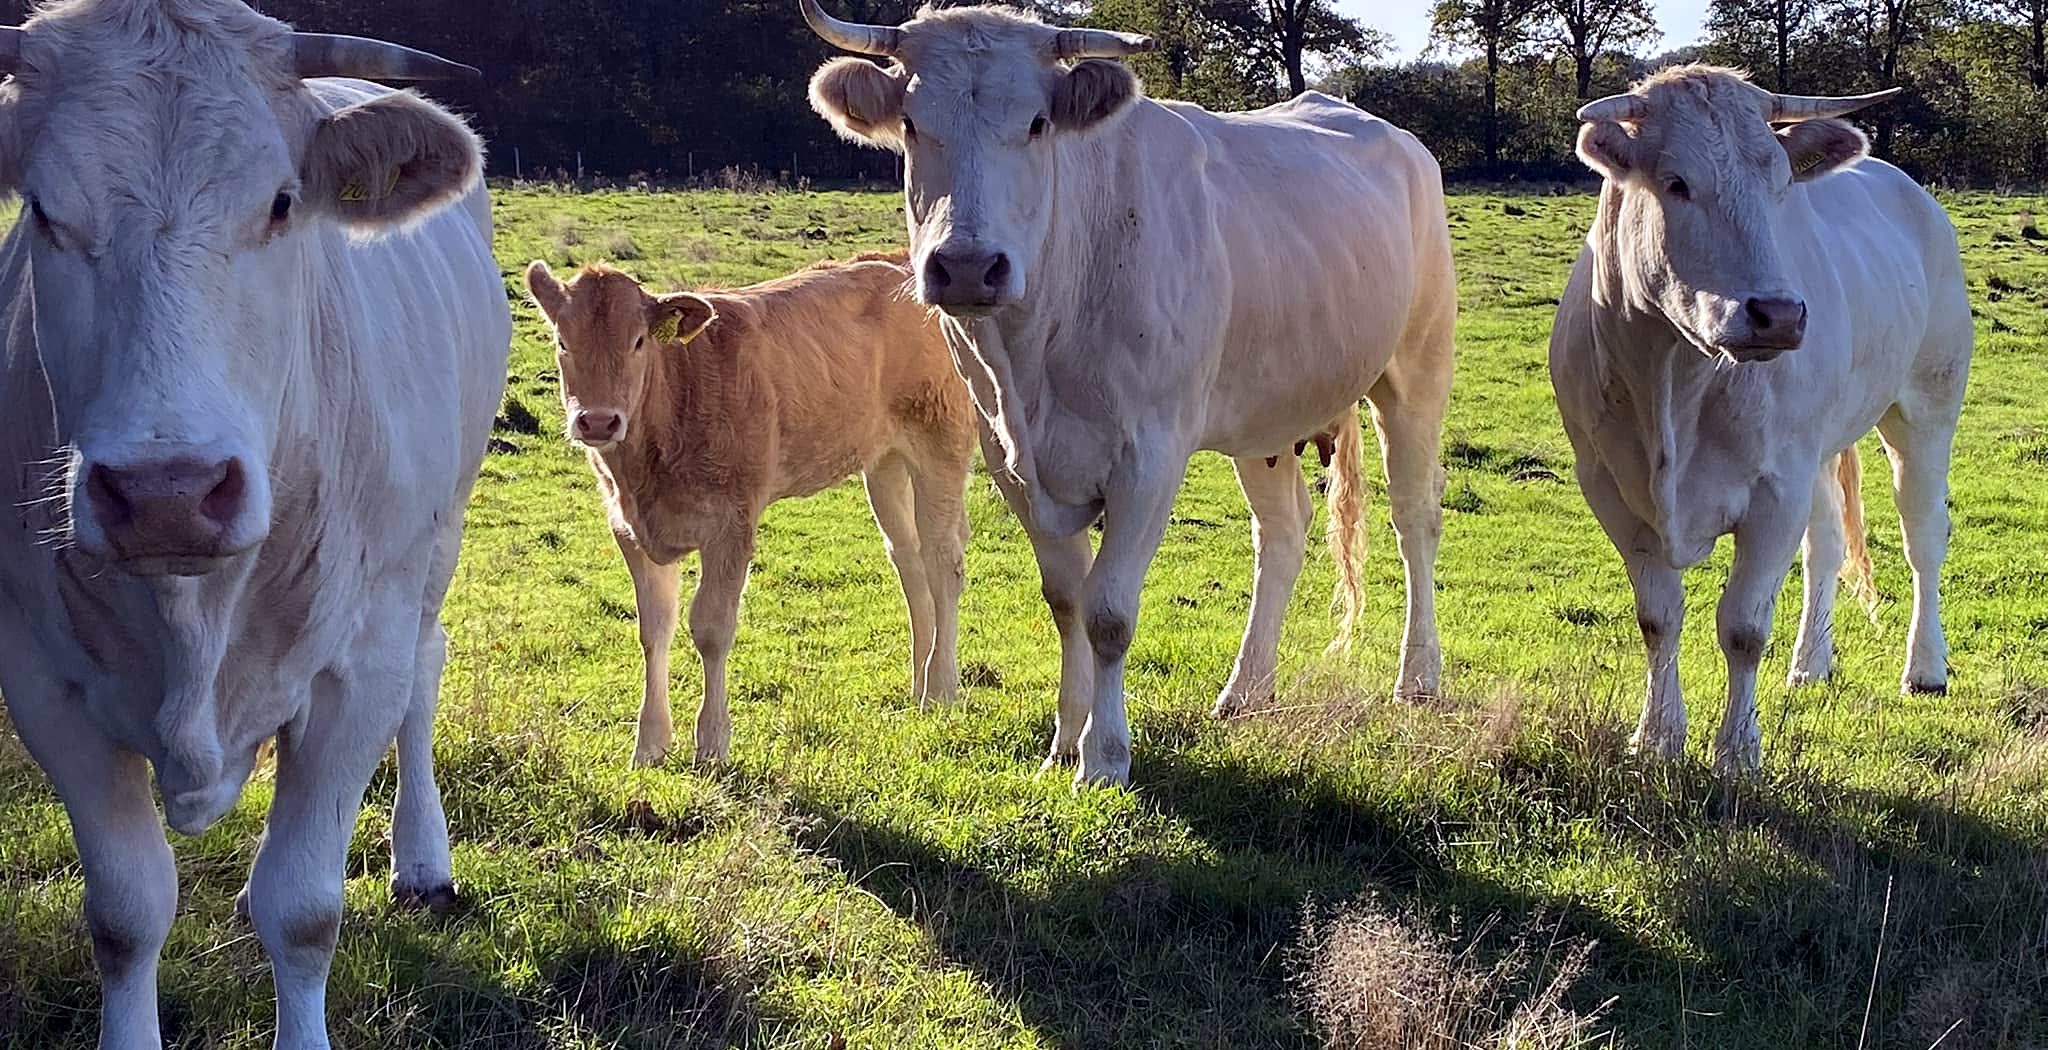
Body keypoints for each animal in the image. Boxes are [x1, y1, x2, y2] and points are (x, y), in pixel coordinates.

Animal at [0, 1, 510, 1047]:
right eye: (43, 211)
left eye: (281, 204)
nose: (167, 490)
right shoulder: (39, 680)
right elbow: (125, 915)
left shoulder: (360, 666)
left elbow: (305, 911)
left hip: (436, 545)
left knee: (426, 675)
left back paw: (423, 861)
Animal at [525, 253, 976, 767]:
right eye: (562, 341)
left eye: (638, 341)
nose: (598, 421)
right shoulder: (629, 529)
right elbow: (654, 630)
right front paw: (650, 743)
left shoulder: (731, 522)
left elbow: (711, 627)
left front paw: (712, 742)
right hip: (885, 461)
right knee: (909, 561)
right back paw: (920, 686)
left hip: (940, 440)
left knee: (943, 563)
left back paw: (941, 689)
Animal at [799, 1, 1458, 786]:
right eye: (910, 123)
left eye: (1037, 123)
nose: (966, 267)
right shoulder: (1010, 459)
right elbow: (1066, 602)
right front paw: (1064, 740)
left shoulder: (1150, 456)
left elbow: (1107, 611)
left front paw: (1105, 757)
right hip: (1264, 413)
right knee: (1283, 530)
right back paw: (1246, 690)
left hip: (1416, 368)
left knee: (1414, 517)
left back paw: (1417, 679)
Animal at [1549, 65, 1971, 774]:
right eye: (1676, 182)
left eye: (1779, 187)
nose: (1778, 314)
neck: (1675, 379)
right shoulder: (1610, 487)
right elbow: (1658, 617)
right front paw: (1656, 737)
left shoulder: (1774, 492)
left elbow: (1743, 627)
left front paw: (1738, 751)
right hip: (1819, 450)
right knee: (1825, 544)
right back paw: (1810, 664)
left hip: (1926, 408)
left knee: (1924, 536)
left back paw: (1926, 669)